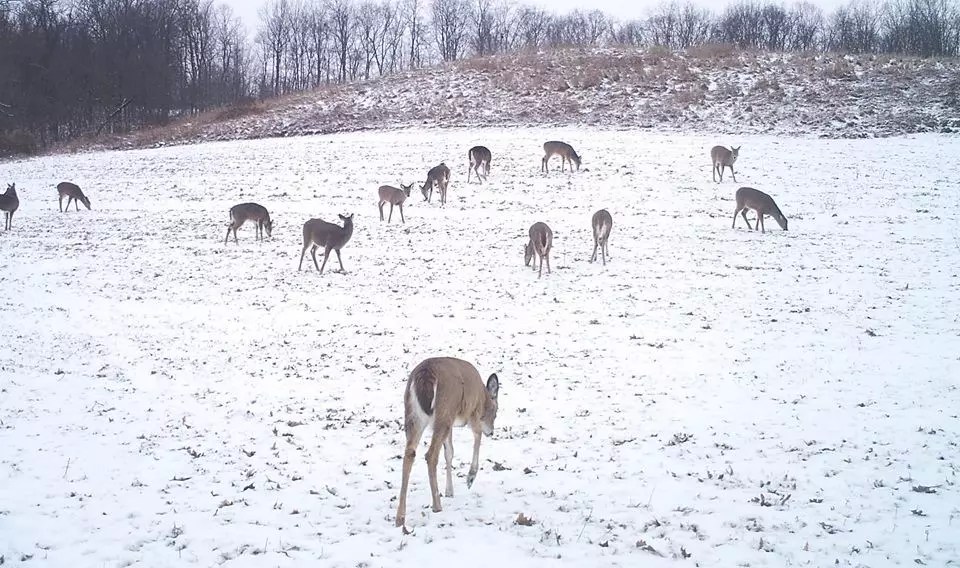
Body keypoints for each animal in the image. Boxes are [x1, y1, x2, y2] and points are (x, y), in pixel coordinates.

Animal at [395, 357, 500, 528]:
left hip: (413, 414)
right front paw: (470, 477)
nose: (491, 432)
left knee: (409, 453)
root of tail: (425, 374)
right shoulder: (473, 412)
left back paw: (400, 517)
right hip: (445, 408)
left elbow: (449, 452)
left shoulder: (452, 423)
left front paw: (449, 491)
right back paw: (436, 505)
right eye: (496, 412)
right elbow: (477, 436)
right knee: (430, 455)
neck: (482, 395)